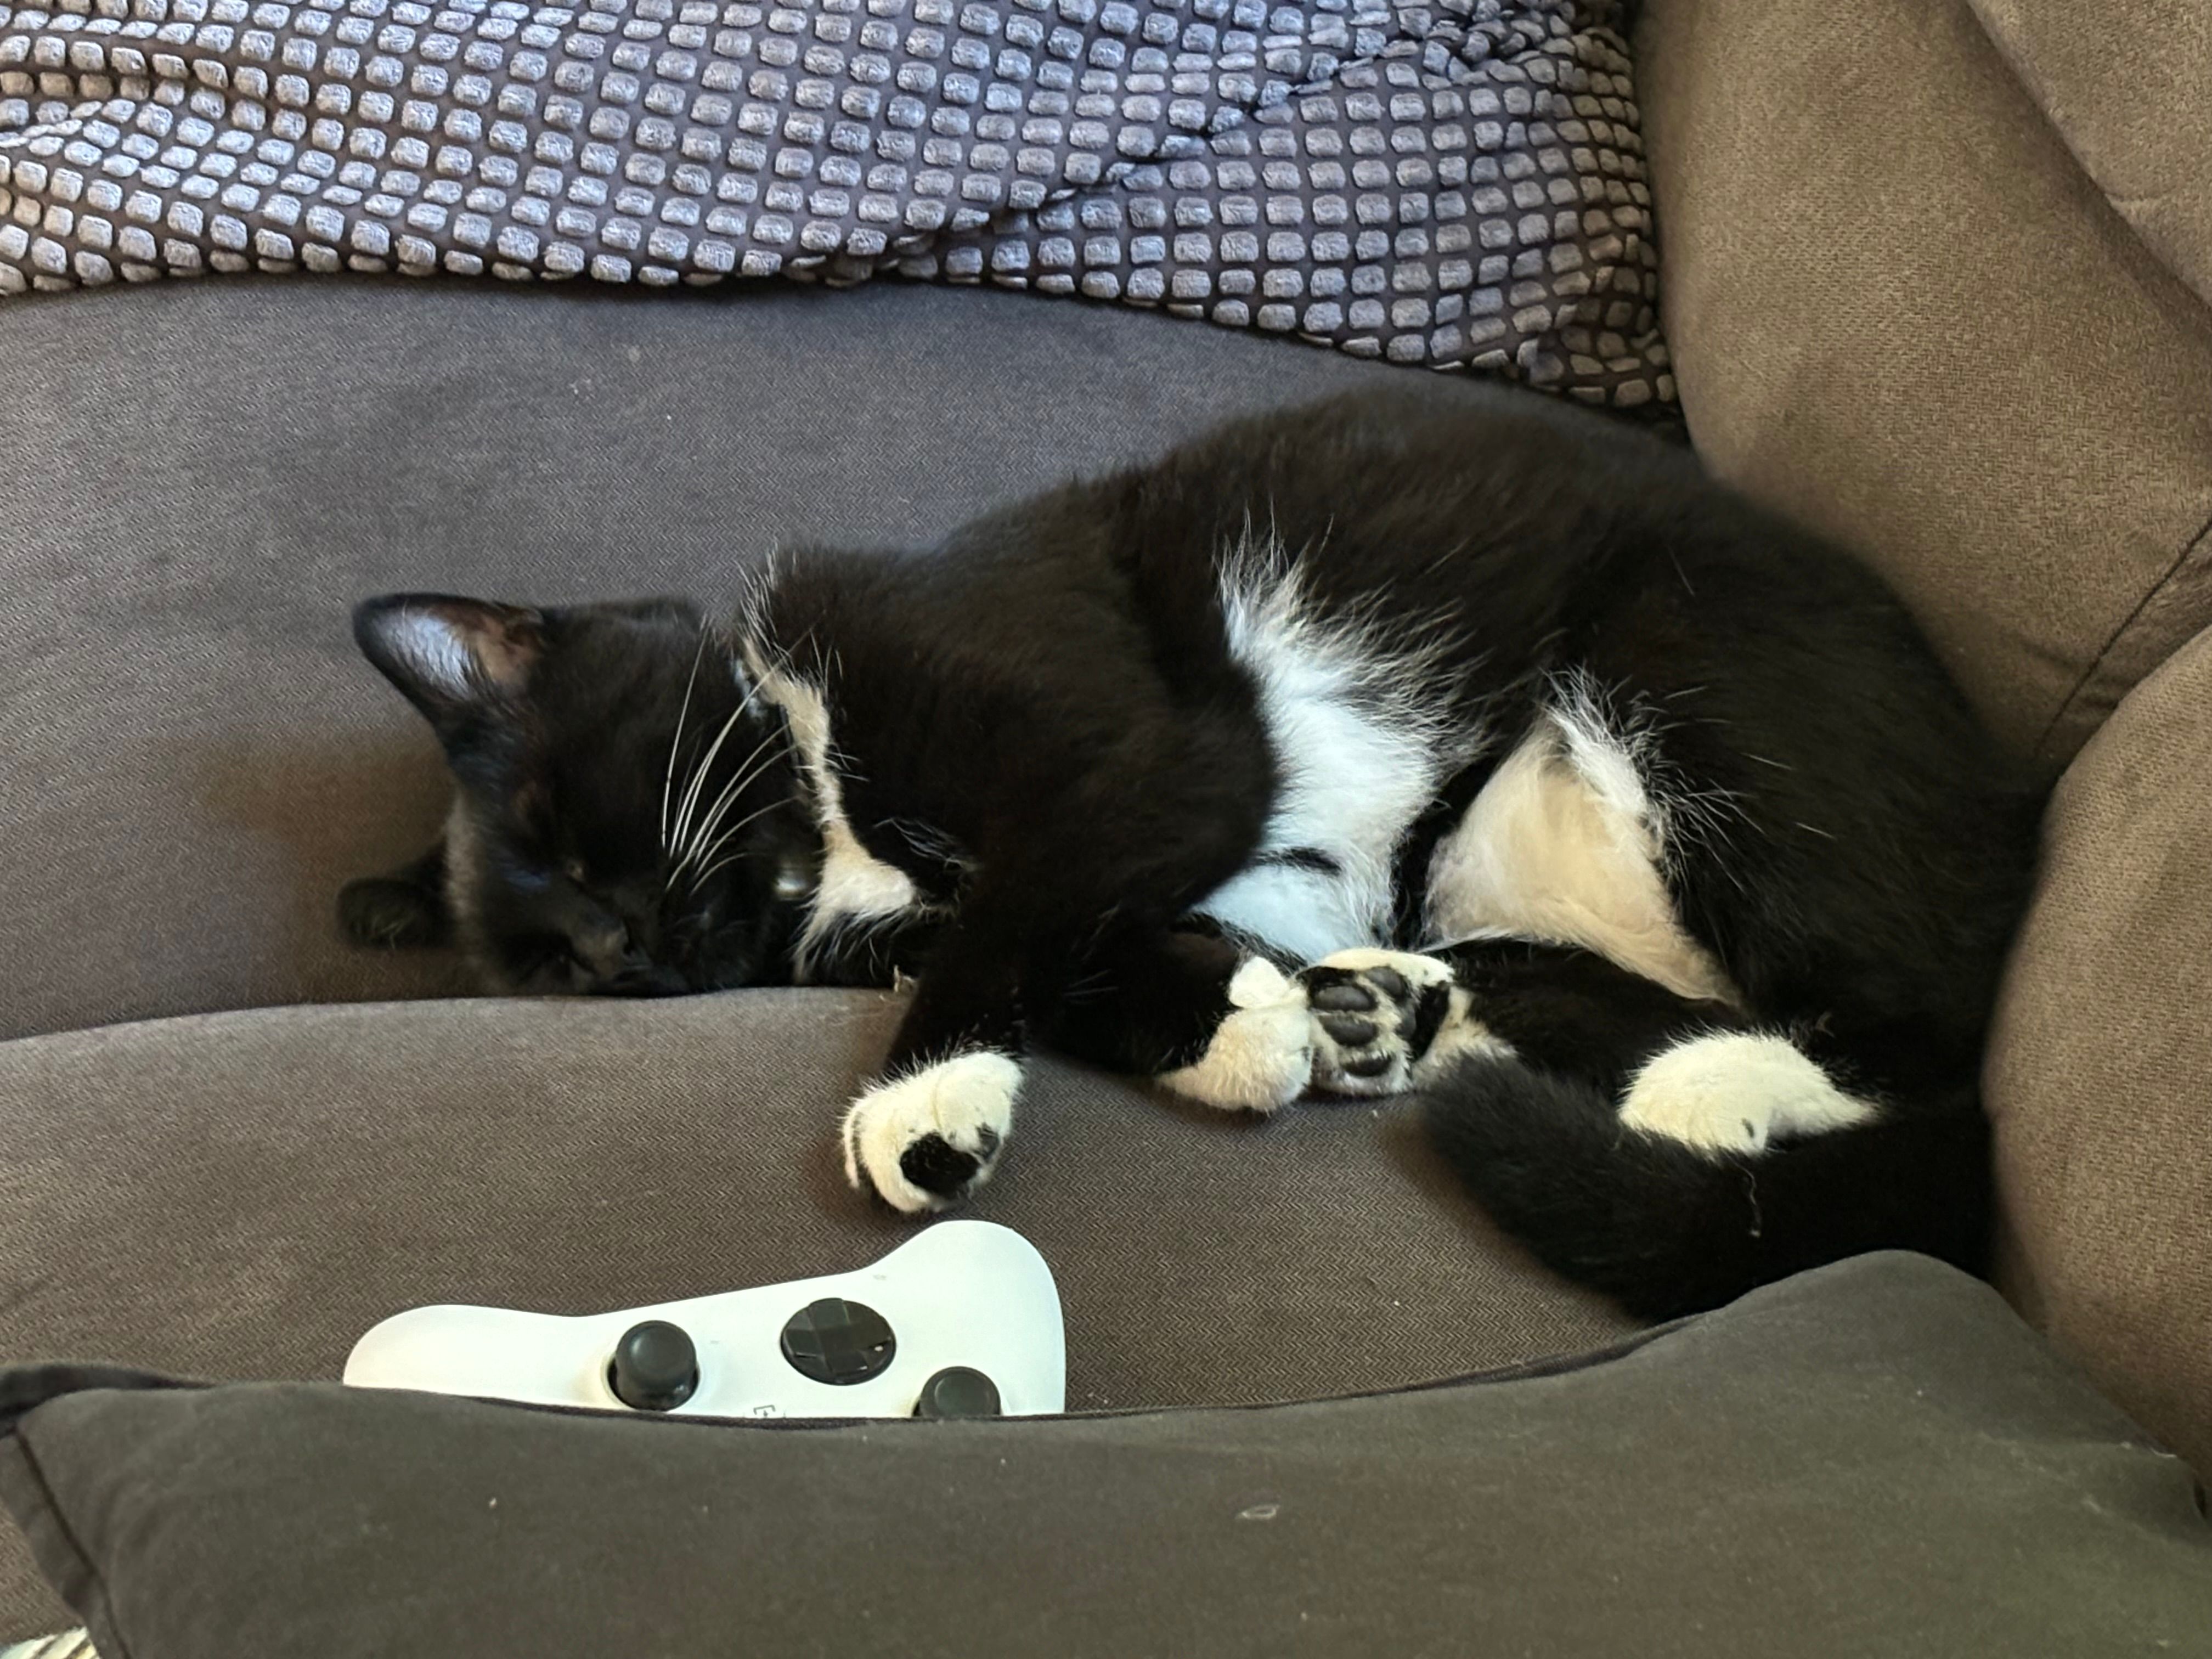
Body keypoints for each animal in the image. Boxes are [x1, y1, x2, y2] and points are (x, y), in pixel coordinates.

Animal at [341, 382, 2038, 1319]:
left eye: (566, 837)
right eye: (571, 971)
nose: (629, 948)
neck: (819, 820)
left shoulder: (1140, 745)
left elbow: (1022, 907)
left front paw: (923, 1101)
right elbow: (1067, 945)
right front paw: (1234, 1030)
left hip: (1711, 685)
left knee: (1927, 1048)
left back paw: (1705, 1089)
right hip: (1502, 884)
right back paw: (1398, 1013)